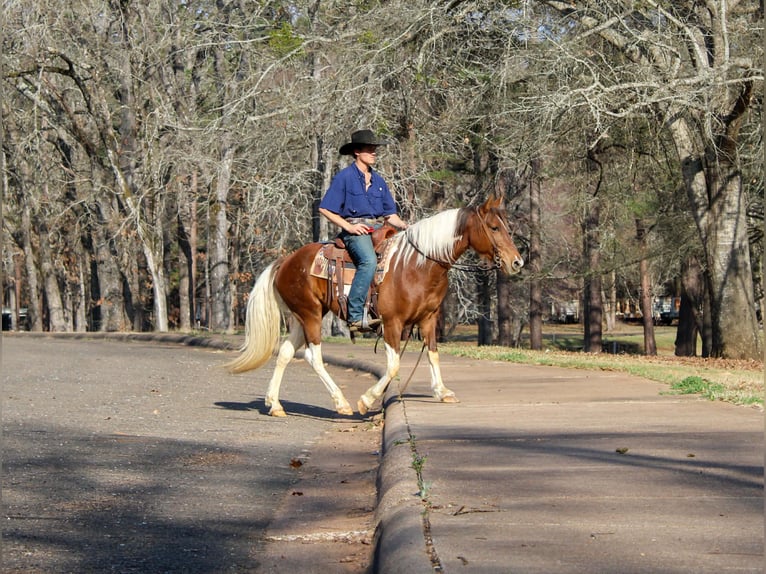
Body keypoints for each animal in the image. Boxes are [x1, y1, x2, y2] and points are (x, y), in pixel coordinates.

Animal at [226, 194, 524, 417]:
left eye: (507, 226)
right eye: (494, 228)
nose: (517, 262)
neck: (418, 265)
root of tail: (285, 261)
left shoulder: (428, 319)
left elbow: (433, 354)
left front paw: (442, 391)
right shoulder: (392, 323)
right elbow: (393, 365)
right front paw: (366, 400)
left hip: (304, 316)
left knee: (286, 353)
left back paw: (275, 404)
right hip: (310, 315)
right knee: (314, 357)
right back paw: (342, 403)